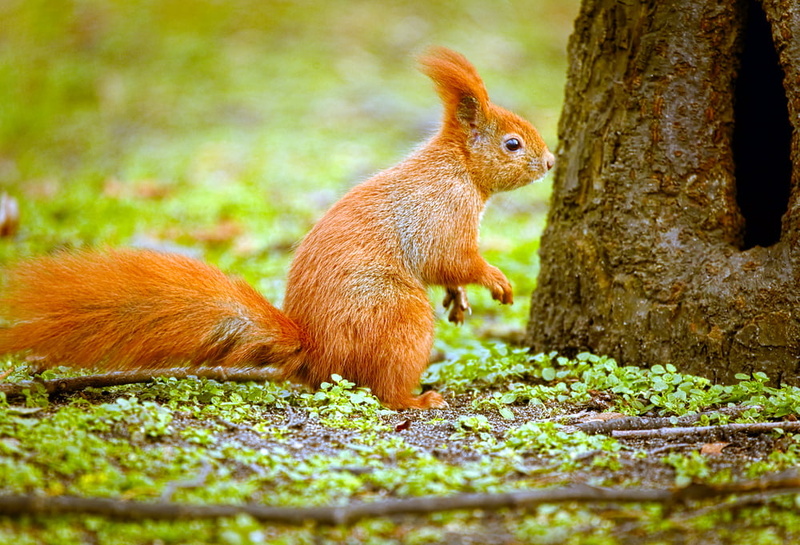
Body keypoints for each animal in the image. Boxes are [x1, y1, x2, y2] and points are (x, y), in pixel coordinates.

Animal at [0, 47, 554, 410]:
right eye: (511, 144)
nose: (550, 162)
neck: (458, 169)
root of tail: (315, 352)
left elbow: (450, 272)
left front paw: (460, 300)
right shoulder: (441, 213)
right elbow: (452, 259)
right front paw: (496, 281)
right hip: (397, 319)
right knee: (384, 390)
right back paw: (418, 401)